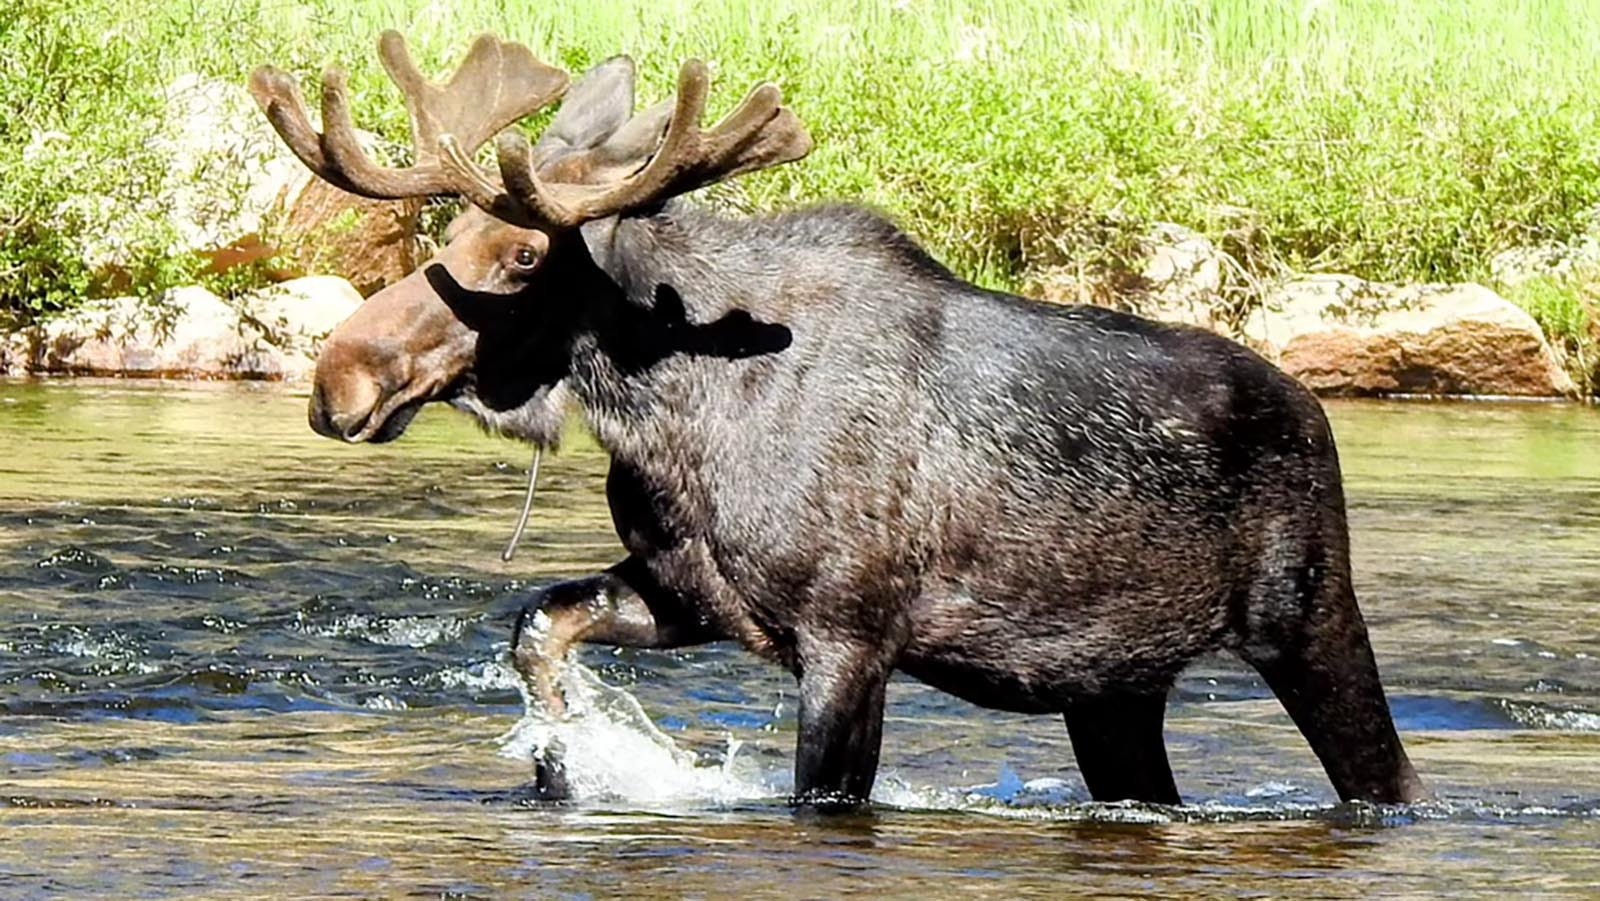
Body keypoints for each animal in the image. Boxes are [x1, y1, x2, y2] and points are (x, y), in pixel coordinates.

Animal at [252, 31, 1427, 809]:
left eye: (525, 253)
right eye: (447, 231)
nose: (339, 378)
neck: (672, 420)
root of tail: (1313, 414)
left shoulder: (852, 635)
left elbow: (820, 792)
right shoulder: (694, 592)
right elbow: (538, 624)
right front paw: (560, 758)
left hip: (1309, 616)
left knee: (1391, 776)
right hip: (1113, 689)